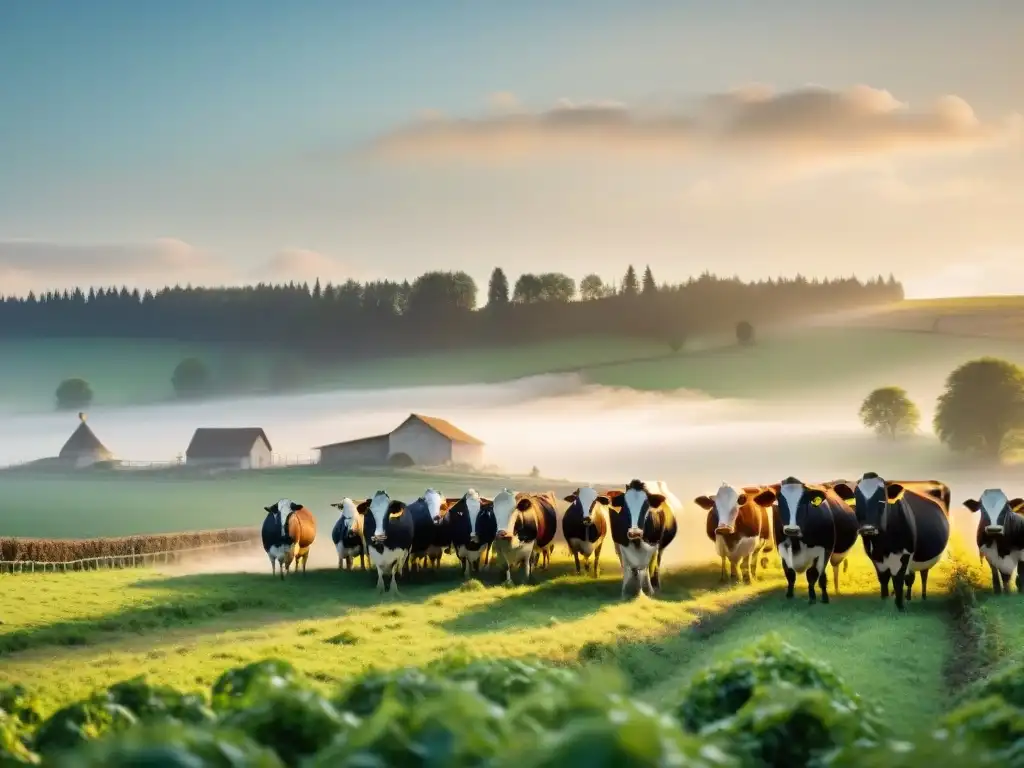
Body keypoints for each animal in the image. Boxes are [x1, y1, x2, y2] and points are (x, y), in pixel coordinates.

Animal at [831, 473, 950, 610]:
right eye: (857, 498)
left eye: (883, 498)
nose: (868, 528)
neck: (883, 544)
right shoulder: (876, 557)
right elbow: (884, 579)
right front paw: (885, 600)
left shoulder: (904, 554)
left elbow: (898, 580)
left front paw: (899, 606)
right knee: (911, 577)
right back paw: (908, 597)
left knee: (923, 575)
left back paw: (923, 597)